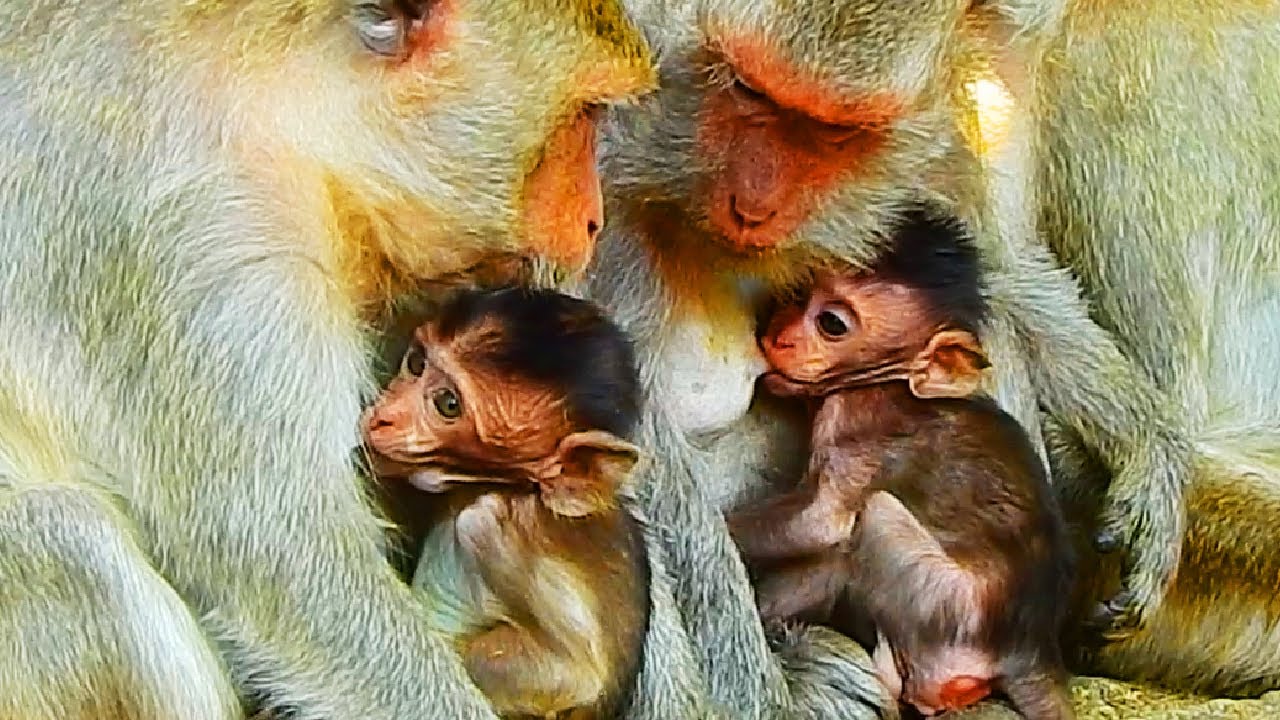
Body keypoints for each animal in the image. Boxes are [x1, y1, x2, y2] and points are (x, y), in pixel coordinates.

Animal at [362, 286, 650, 720]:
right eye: (416, 363)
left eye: (447, 404)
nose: (383, 418)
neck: (518, 489)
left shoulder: (509, 532)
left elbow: (576, 673)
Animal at [725, 222, 1076, 720]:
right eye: (798, 294)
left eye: (831, 324)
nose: (780, 335)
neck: (888, 379)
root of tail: (1032, 648)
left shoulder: (853, 420)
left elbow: (821, 522)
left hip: (944, 604)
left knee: (863, 526)